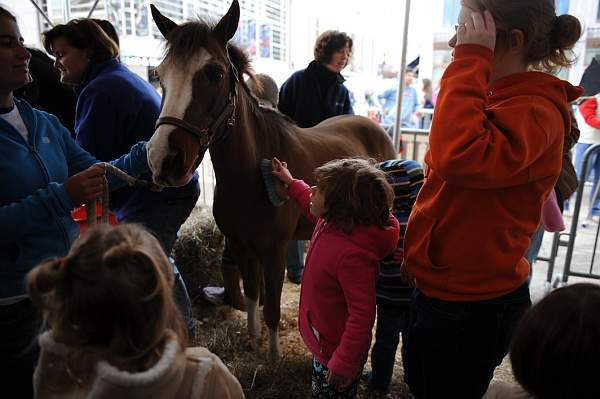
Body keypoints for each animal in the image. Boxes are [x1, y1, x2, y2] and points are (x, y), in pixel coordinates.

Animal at [147, 0, 396, 360]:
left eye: (215, 73)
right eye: (160, 74)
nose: (163, 158)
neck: (249, 176)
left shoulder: (274, 250)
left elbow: (273, 307)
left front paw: (274, 356)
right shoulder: (241, 245)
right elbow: (253, 296)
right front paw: (253, 340)